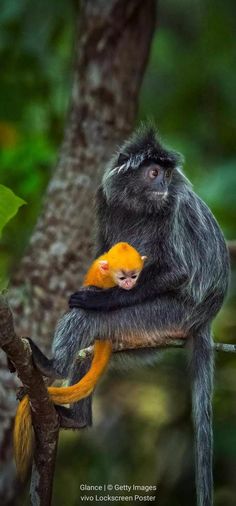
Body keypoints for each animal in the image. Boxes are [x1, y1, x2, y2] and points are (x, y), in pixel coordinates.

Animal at [27, 126, 229, 506]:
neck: (139, 204)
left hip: (164, 317)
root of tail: (205, 319)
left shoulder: (173, 207)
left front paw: (98, 298)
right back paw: (76, 418)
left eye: (164, 174)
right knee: (88, 349)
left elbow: (178, 271)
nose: (163, 183)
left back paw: (52, 365)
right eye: (154, 173)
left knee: (83, 320)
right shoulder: (105, 201)